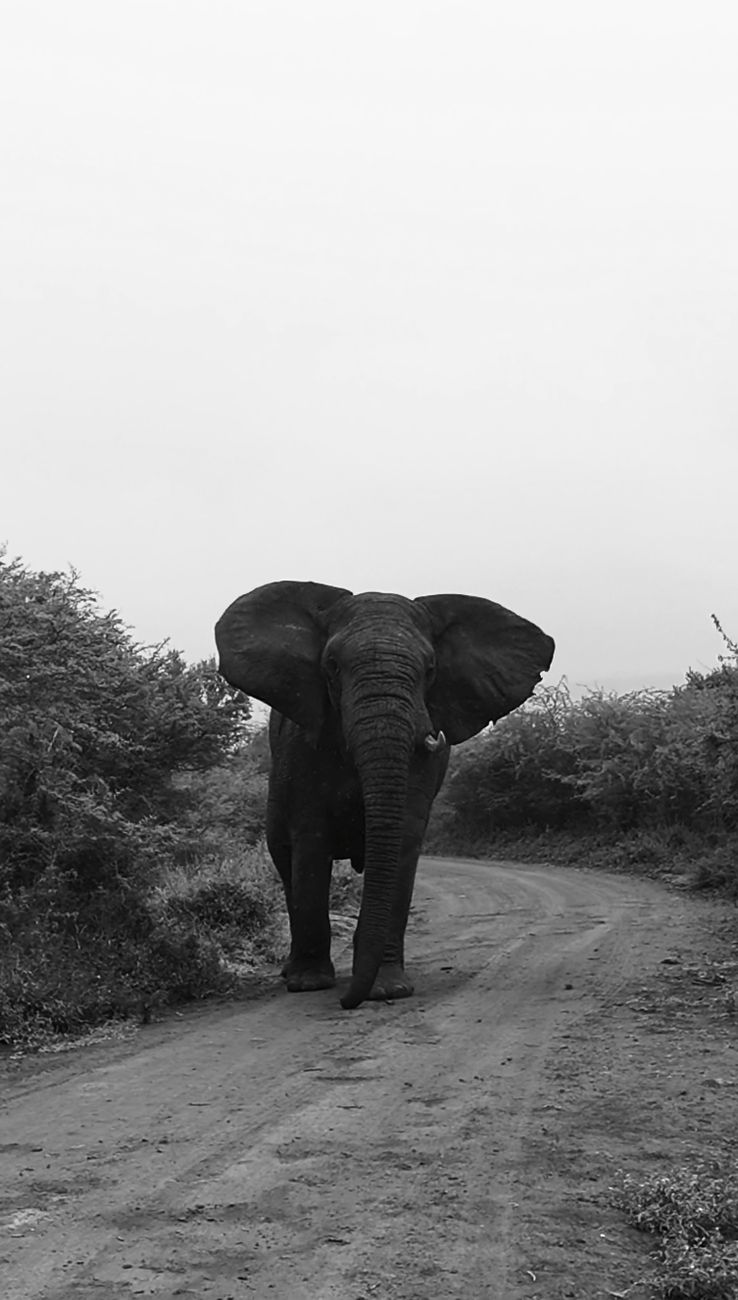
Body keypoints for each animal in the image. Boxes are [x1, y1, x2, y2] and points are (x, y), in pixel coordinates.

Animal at [215, 581, 554, 1010]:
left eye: (430, 669)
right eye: (332, 665)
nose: (348, 1002)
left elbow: (404, 841)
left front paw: (388, 990)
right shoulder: (301, 750)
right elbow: (310, 846)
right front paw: (311, 985)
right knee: (286, 861)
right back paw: (293, 973)